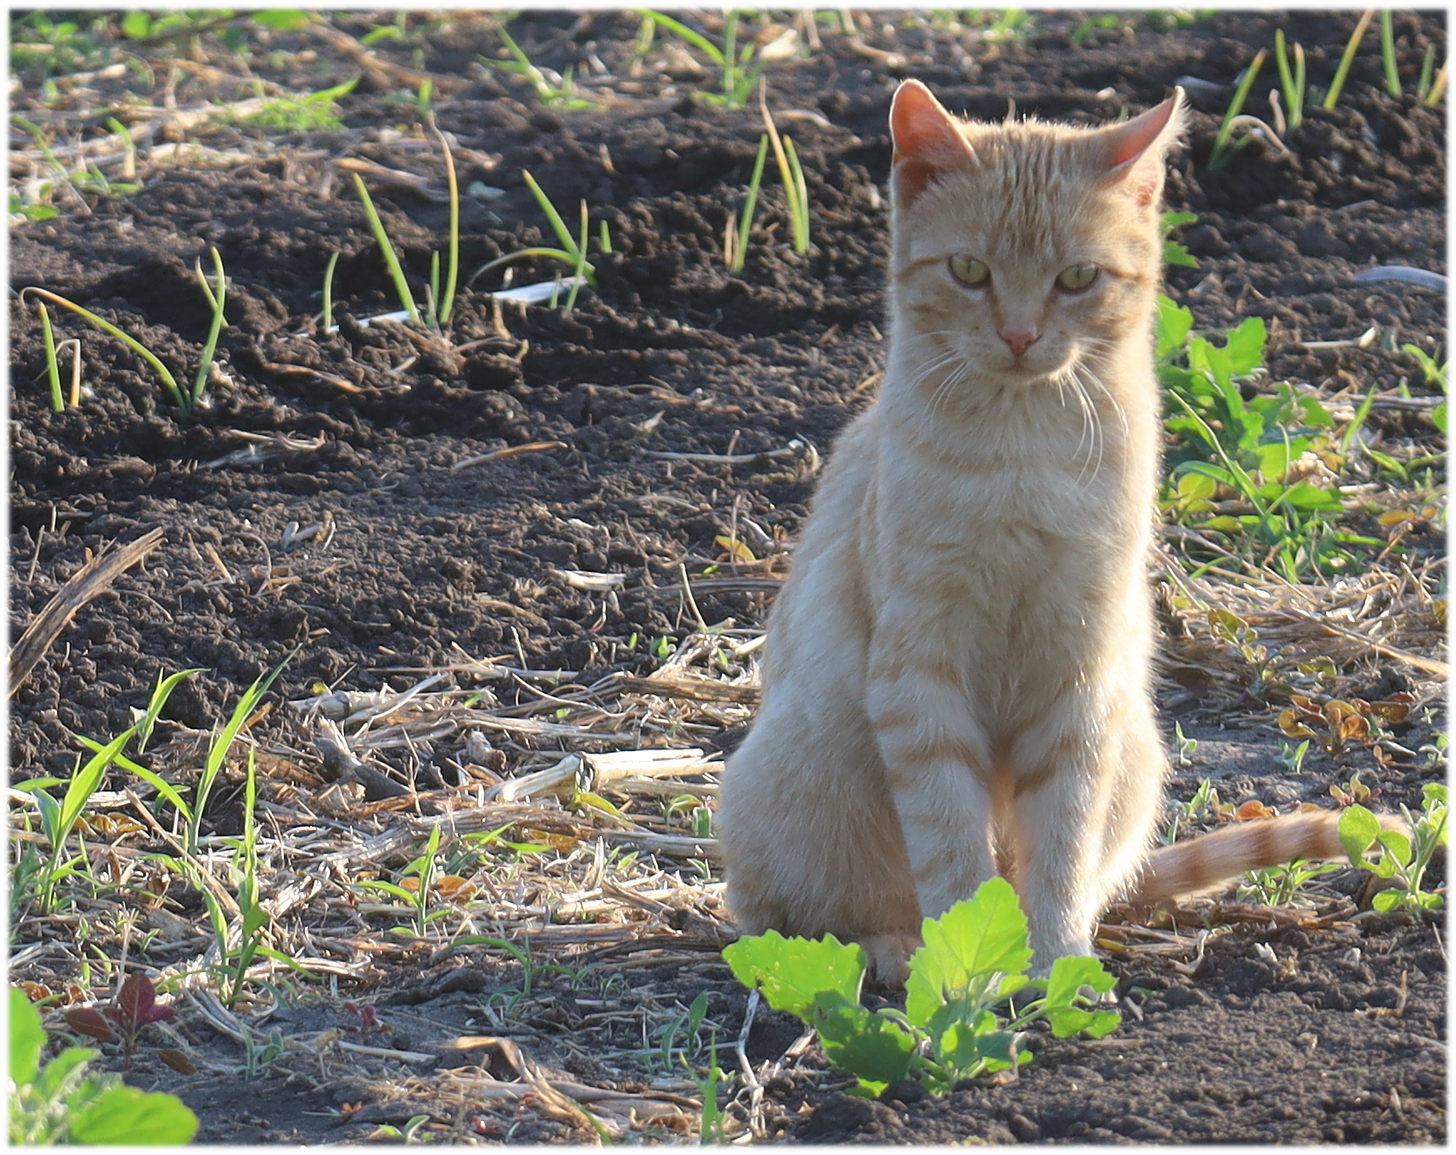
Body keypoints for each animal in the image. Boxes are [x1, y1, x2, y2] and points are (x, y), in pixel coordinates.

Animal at [716, 83, 1362, 984]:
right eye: (969, 270)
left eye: (1078, 277)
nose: (1020, 336)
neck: (1024, 450)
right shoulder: (920, 674)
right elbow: (952, 850)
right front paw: (968, 974)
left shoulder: (1080, 677)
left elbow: (1060, 849)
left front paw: (1055, 961)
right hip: (787, 785)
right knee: (784, 916)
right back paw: (891, 948)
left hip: (1134, 751)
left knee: (1081, 870)